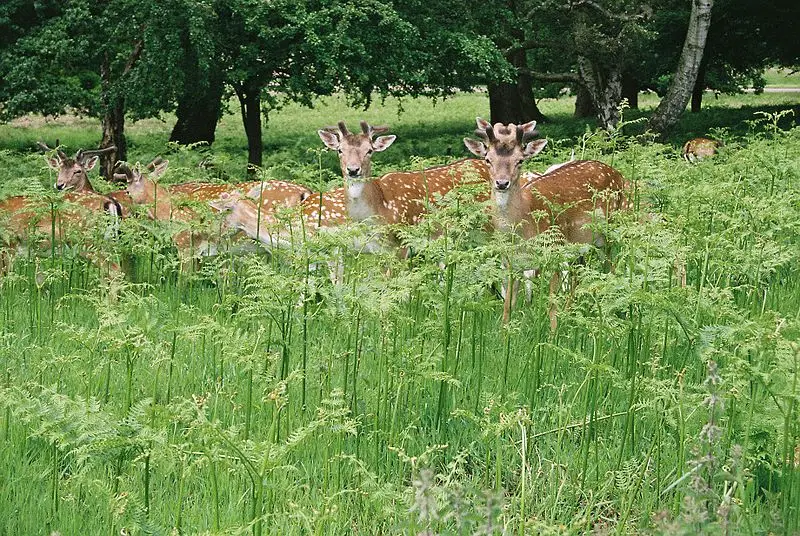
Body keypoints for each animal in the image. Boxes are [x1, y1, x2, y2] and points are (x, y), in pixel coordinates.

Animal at [464, 118, 627, 327]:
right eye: (487, 159)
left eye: (520, 160)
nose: (502, 183)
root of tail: (618, 174)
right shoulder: (510, 263)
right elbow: (508, 306)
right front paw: (504, 332)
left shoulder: (553, 252)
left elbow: (551, 306)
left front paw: (553, 334)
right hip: (578, 245)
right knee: (578, 275)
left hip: (610, 230)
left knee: (610, 267)